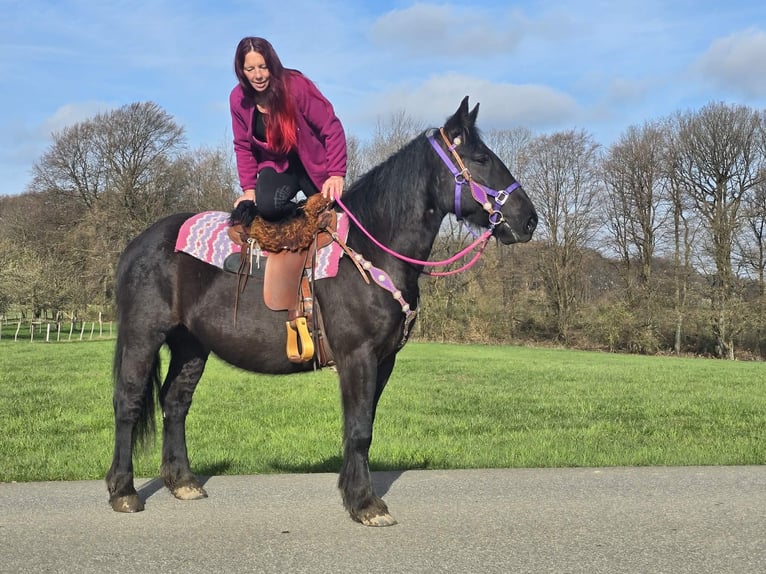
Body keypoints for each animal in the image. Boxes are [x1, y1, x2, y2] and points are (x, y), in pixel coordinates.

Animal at [106, 96, 537, 526]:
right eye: (481, 158)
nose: (529, 220)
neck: (370, 248)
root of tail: (139, 244)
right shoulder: (358, 357)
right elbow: (359, 429)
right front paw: (366, 503)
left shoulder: (384, 360)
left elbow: (363, 427)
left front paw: (354, 494)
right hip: (143, 336)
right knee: (128, 402)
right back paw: (124, 491)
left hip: (191, 345)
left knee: (175, 402)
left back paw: (182, 482)